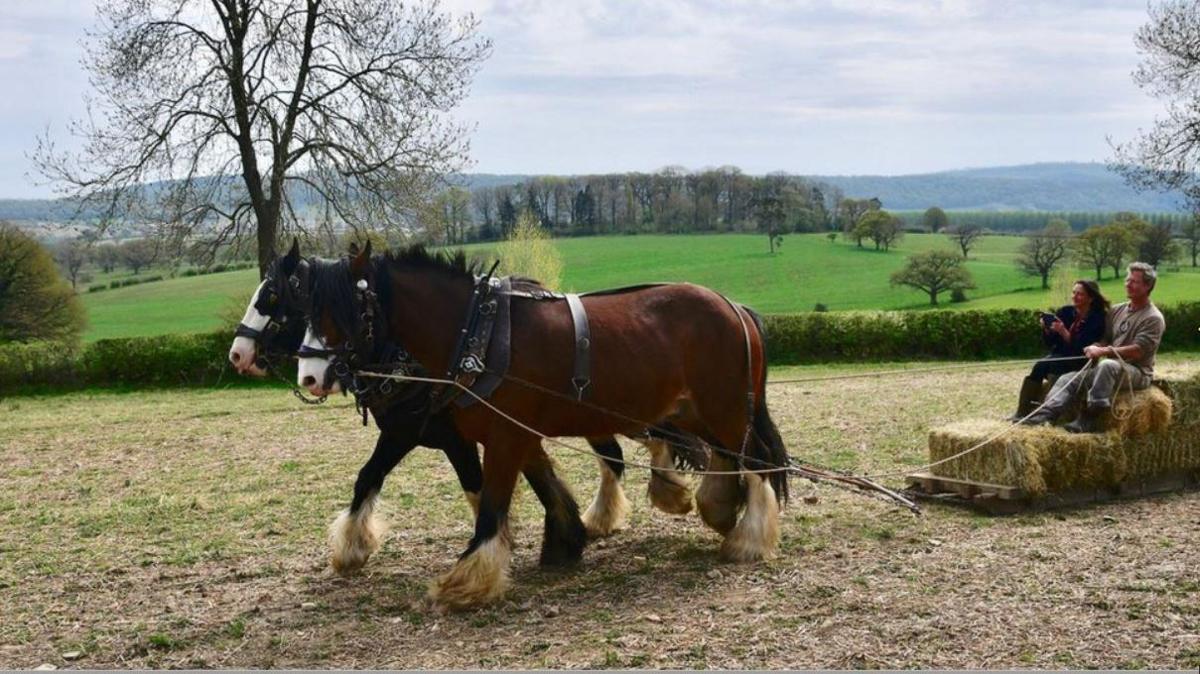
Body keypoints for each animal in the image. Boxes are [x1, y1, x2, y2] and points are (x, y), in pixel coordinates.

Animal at [296, 242, 792, 609]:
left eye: (344, 311)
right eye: (305, 307)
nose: (310, 376)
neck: (480, 334)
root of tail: (733, 306)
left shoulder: (502, 436)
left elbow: (493, 501)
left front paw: (466, 580)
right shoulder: (512, 432)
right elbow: (544, 484)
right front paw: (564, 541)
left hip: (724, 409)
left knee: (756, 462)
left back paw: (748, 540)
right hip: (697, 412)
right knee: (729, 457)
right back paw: (720, 510)